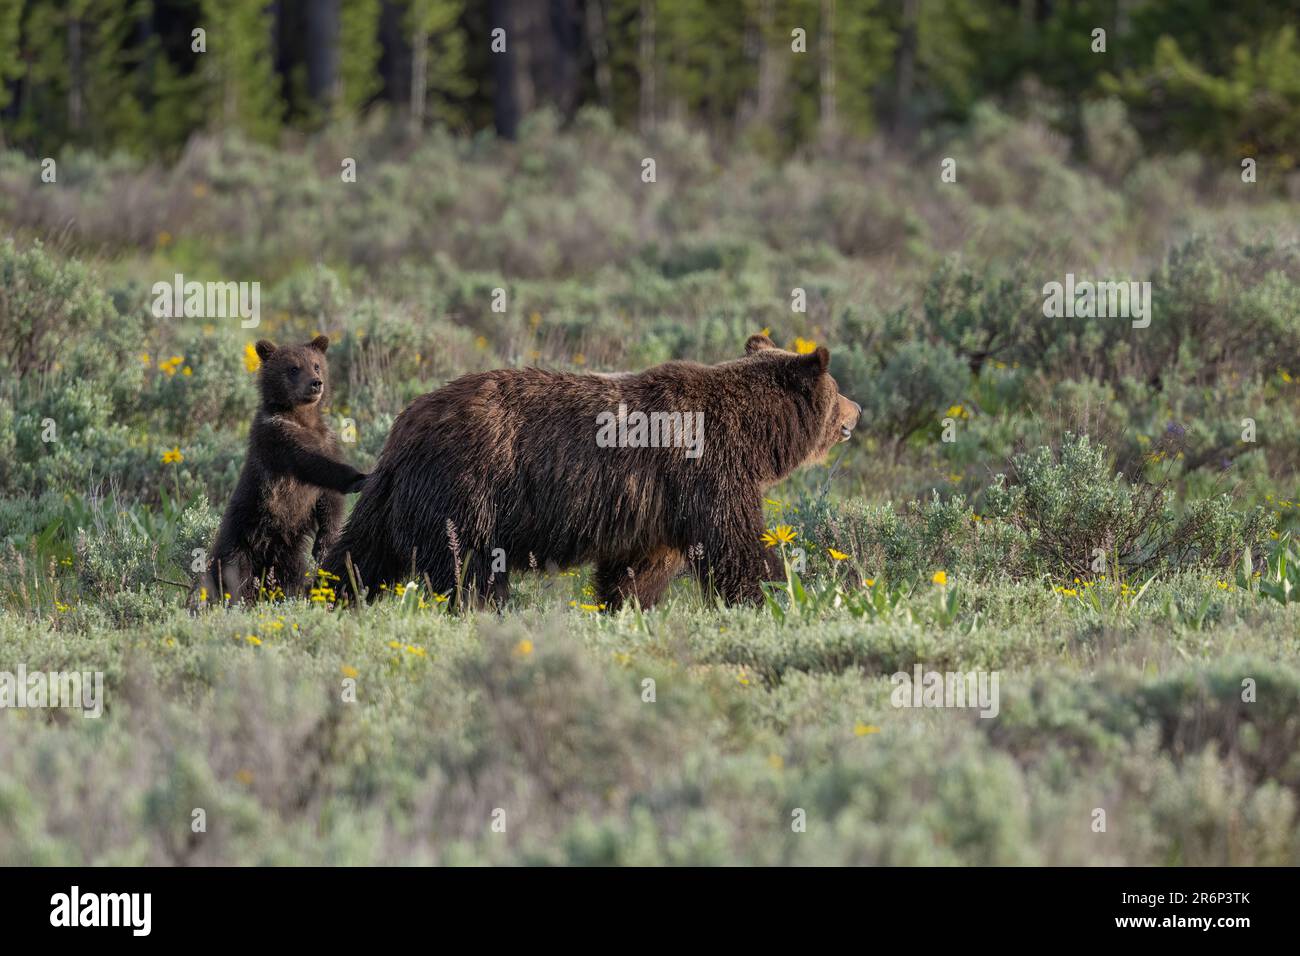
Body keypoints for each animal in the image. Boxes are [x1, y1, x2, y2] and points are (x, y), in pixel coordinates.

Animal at [200, 338, 369, 606]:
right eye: (293, 368)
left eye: (316, 365)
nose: (316, 383)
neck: (301, 418)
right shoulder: (279, 438)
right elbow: (314, 465)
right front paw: (358, 477)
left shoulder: (327, 440)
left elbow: (329, 501)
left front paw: (325, 543)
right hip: (242, 532)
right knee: (232, 570)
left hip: (288, 549)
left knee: (289, 575)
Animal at [319, 332, 857, 608]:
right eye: (838, 390)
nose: (857, 410)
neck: (756, 437)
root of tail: (406, 421)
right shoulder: (706, 472)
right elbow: (735, 544)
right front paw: (771, 596)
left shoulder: (656, 505)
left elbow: (640, 566)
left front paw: (625, 604)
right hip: (468, 484)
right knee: (467, 562)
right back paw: (486, 606)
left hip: (394, 491)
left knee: (363, 549)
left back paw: (330, 592)